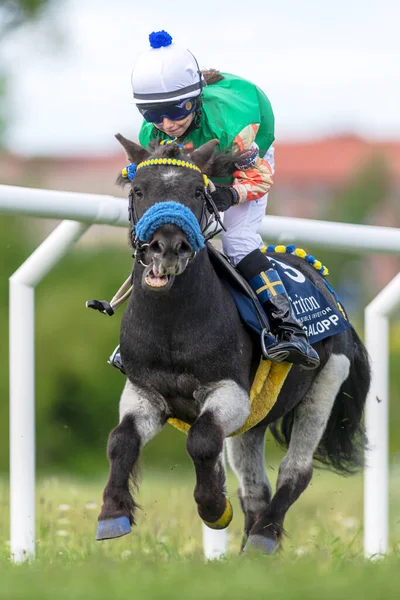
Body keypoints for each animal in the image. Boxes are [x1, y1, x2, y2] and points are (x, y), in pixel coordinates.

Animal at [95, 136, 370, 552]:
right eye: (138, 190)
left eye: (197, 190)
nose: (167, 247)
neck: (171, 324)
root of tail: (322, 280)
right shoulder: (144, 391)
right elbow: (120, 439)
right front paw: (113, 513)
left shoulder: (229, 391)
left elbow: (202, 439)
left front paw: (213, 507)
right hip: (256, 418)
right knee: (255, 486)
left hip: (326, 381)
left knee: (296, 470)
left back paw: (263, 536)